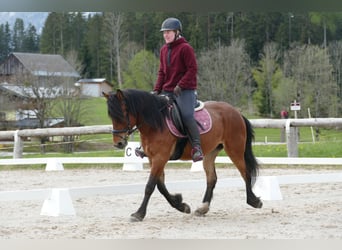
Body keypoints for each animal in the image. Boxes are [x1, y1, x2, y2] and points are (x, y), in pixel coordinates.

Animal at [103, 89, 262, 222]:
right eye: (111, 116)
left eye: (123, 113)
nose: (118, 143)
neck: (155, 123)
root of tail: (236, 112)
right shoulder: (153, 159)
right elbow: (160, 185)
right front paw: (181, 204)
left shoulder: (160, 157)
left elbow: (150, 186)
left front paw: (139, 214)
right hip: (210, 152)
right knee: (212, 178)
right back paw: (203, 208)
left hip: (235, 149)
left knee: (245, 173)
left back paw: (254, 201)